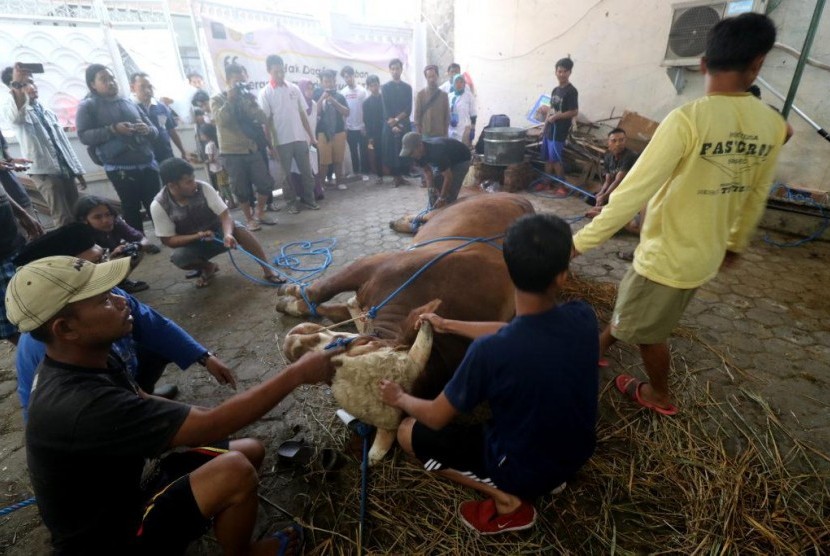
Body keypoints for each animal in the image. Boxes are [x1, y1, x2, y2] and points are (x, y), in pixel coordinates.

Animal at [278, 193, 532, 462]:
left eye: (327, 380)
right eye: (362, 342)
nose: (293, 344)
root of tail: (519, 199)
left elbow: (334, 308)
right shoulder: (377, 263)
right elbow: (321, 290)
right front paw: (291, 296)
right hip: (449, 208)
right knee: (426, 215)